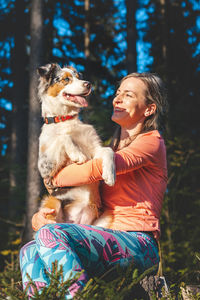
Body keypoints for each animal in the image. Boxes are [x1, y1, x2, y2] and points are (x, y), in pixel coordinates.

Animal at [37, 63, 115, 225]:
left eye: (79, 77)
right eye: (66, 79)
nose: (88, 84)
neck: (65, 118)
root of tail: (78, 221)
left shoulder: (94, 149)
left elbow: (108, 150)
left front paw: (110, 174)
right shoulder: (45, 168)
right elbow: (64, 137)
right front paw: (77, 155)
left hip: (106, 217)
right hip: (52, 202)